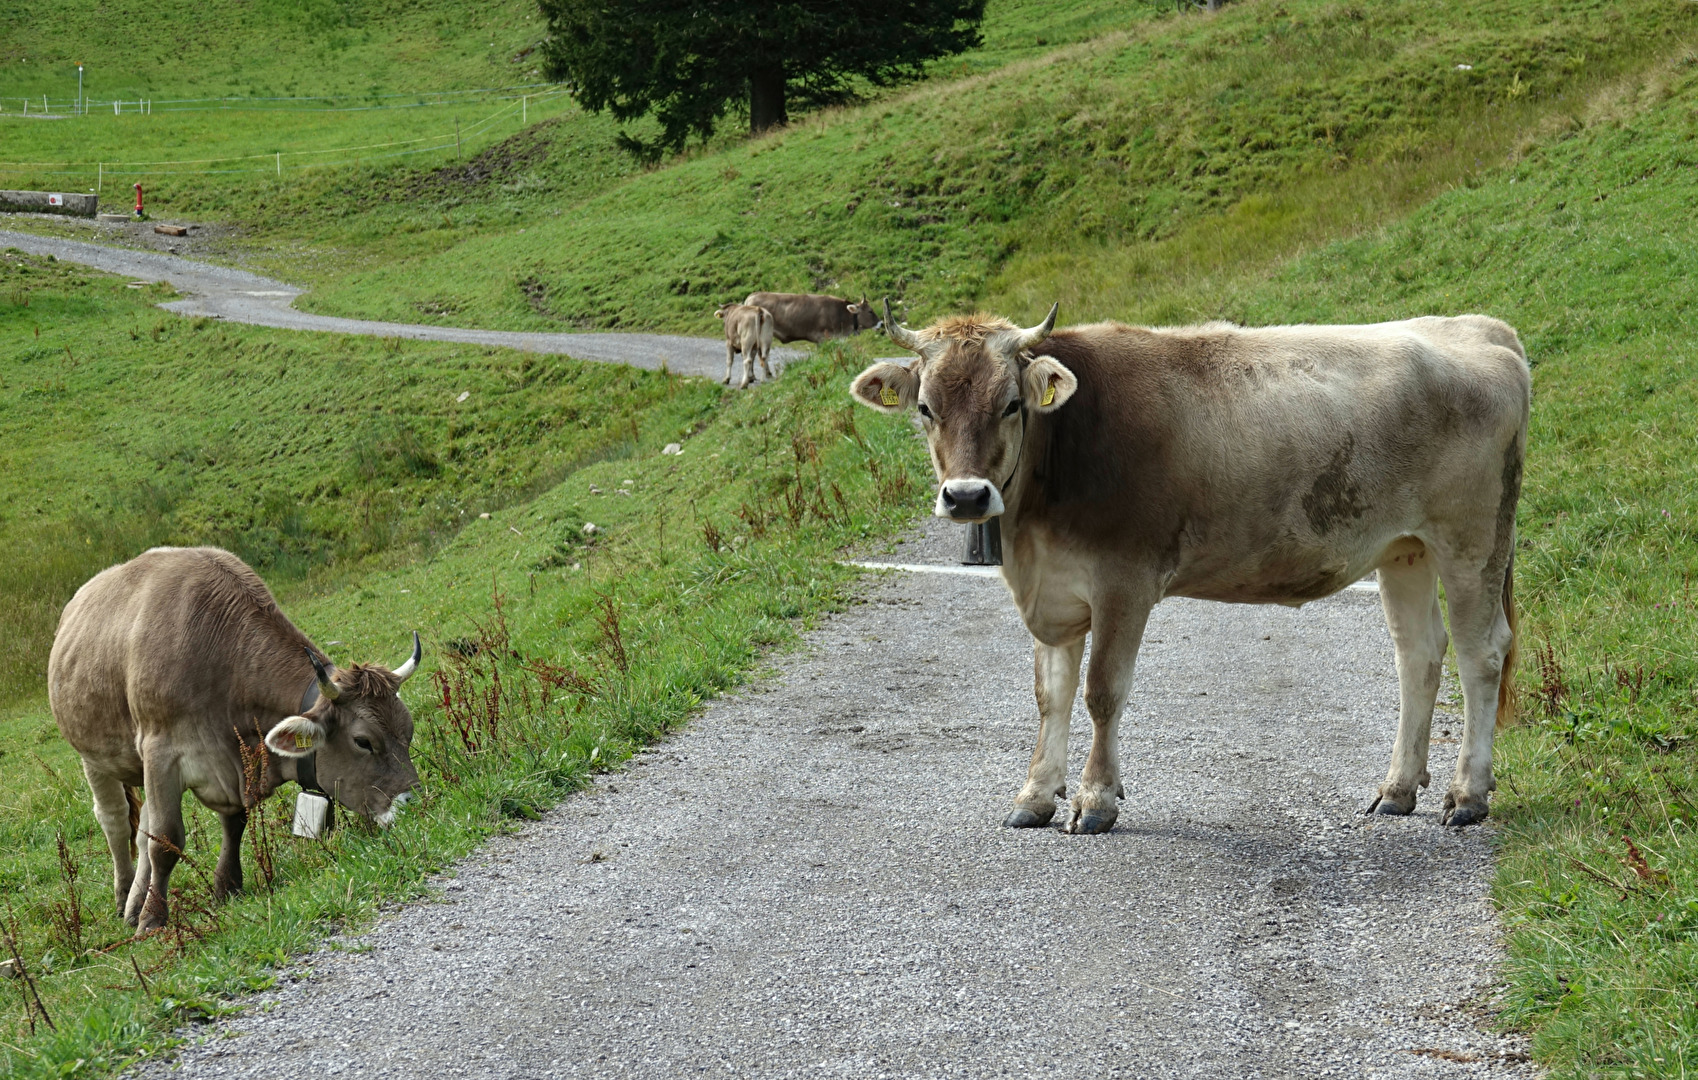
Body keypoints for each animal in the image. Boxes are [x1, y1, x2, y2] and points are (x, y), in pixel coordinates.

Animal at [48, 543, 421, 930]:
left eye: (408, 731)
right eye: (363, 741)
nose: (412, 803)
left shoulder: (234, 763)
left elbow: (233, 822)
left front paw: (226, 886)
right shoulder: (161, 751)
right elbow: (165, 840)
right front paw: (152, 921)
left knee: (141, 827)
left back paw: (135, 903)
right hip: (94, 757)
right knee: (116, 822)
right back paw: (124, 898)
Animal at [855, 303, 1534, 835]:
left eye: (1012, 404)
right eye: (925, 407)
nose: (967, 496)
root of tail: (1481, 327)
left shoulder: (1123, 580)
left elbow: (1102, 691)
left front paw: (1095, 800)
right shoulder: (1054, 590)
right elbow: (1051, 694)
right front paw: (1035, 795)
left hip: (1473, 539)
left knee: (1480, 654)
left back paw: (1468, 795)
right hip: (1405, 548)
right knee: (1419, 654)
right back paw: (1397, 789)